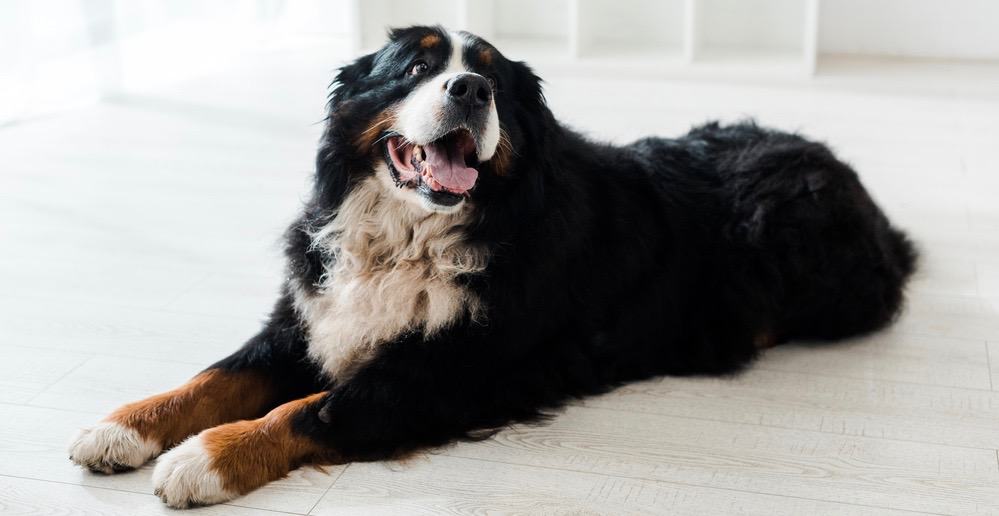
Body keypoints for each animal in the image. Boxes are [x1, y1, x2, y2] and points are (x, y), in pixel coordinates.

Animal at [66, 26, 916, 506]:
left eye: (495, 80)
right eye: (413, 68)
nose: (469, 88)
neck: (408, 234)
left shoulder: (449, 373)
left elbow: (308, 410)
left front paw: (203, 459)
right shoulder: (309, 317)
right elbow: (214, 378)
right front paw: (122, 426)